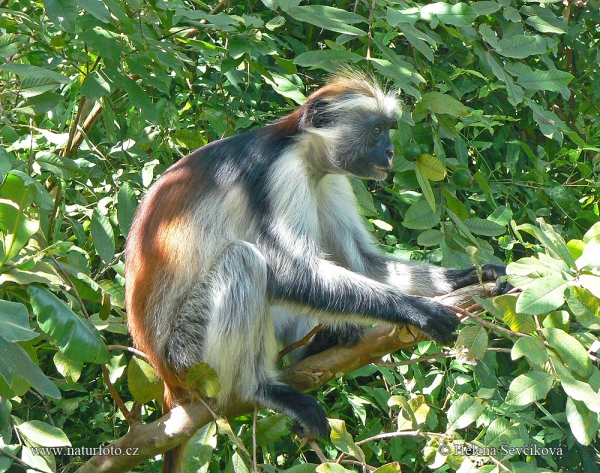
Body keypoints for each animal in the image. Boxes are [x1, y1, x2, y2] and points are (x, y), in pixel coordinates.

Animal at [125, 69, 506, 468]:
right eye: (376, 131)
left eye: (389, 129)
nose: (389, 152)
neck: (300, 147)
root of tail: (167, 377)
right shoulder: (280, 172)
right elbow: (285, 272)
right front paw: (418, 309)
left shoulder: (330, 177)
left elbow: (362, 262)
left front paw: (471, 277)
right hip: (189, 356)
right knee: (245, 260)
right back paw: (259, 388)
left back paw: (317, 346)